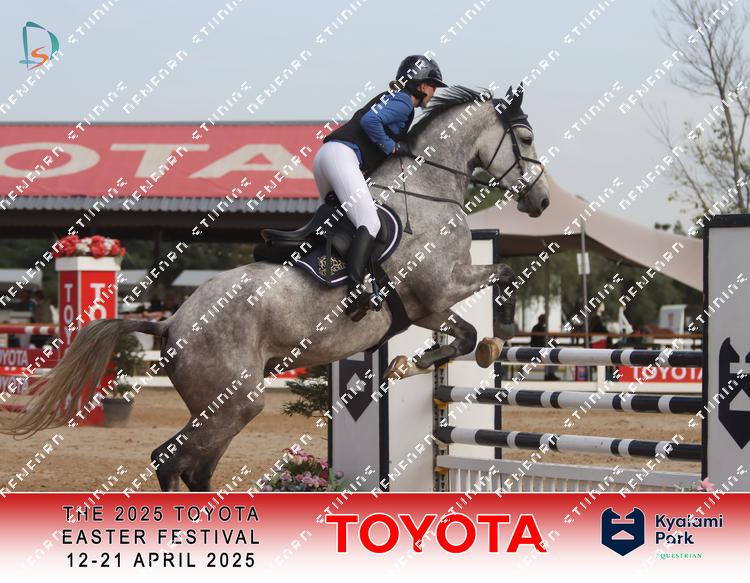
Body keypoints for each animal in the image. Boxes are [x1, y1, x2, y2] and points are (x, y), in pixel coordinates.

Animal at [1, 86, 550, 491]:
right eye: (524, 137)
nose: (542, 201)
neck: (428, 193)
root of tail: (171, 321)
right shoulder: (438, 292)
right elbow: (493, 291)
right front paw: (483, 341)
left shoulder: (425, 310)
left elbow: (462, 335)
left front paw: (411, 361)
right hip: (236, 400)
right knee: (170, 460)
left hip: (223, 404)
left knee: (193, 468)